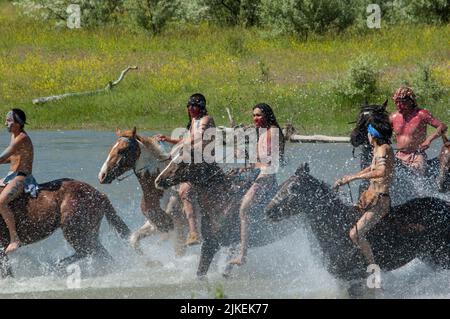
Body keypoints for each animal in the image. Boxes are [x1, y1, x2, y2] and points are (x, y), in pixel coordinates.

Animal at [0, 179, 130, 278]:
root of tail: (100, 195)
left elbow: (5, 271)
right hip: (88, 231)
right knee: (98, 252)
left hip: (73, 228)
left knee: (88, 250)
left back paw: (56, 266)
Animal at [264, 165, 450, 284]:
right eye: (282, 184)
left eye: (294, 188)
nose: (268, 211)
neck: (337, 227)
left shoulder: (354, 277)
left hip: (442, 256)